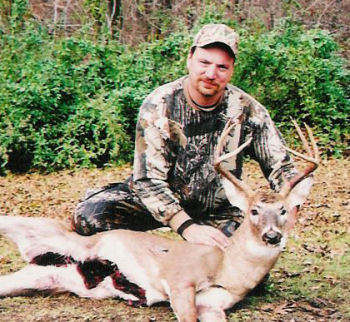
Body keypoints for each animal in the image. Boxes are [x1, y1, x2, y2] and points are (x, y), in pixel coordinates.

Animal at [0, 119, 318, 322]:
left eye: (284, 210)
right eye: (254, 210)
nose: (272, 236)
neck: (228, 270)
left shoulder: (213, 306)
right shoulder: (179, 279)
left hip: (42, 277)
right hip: (42, 228)